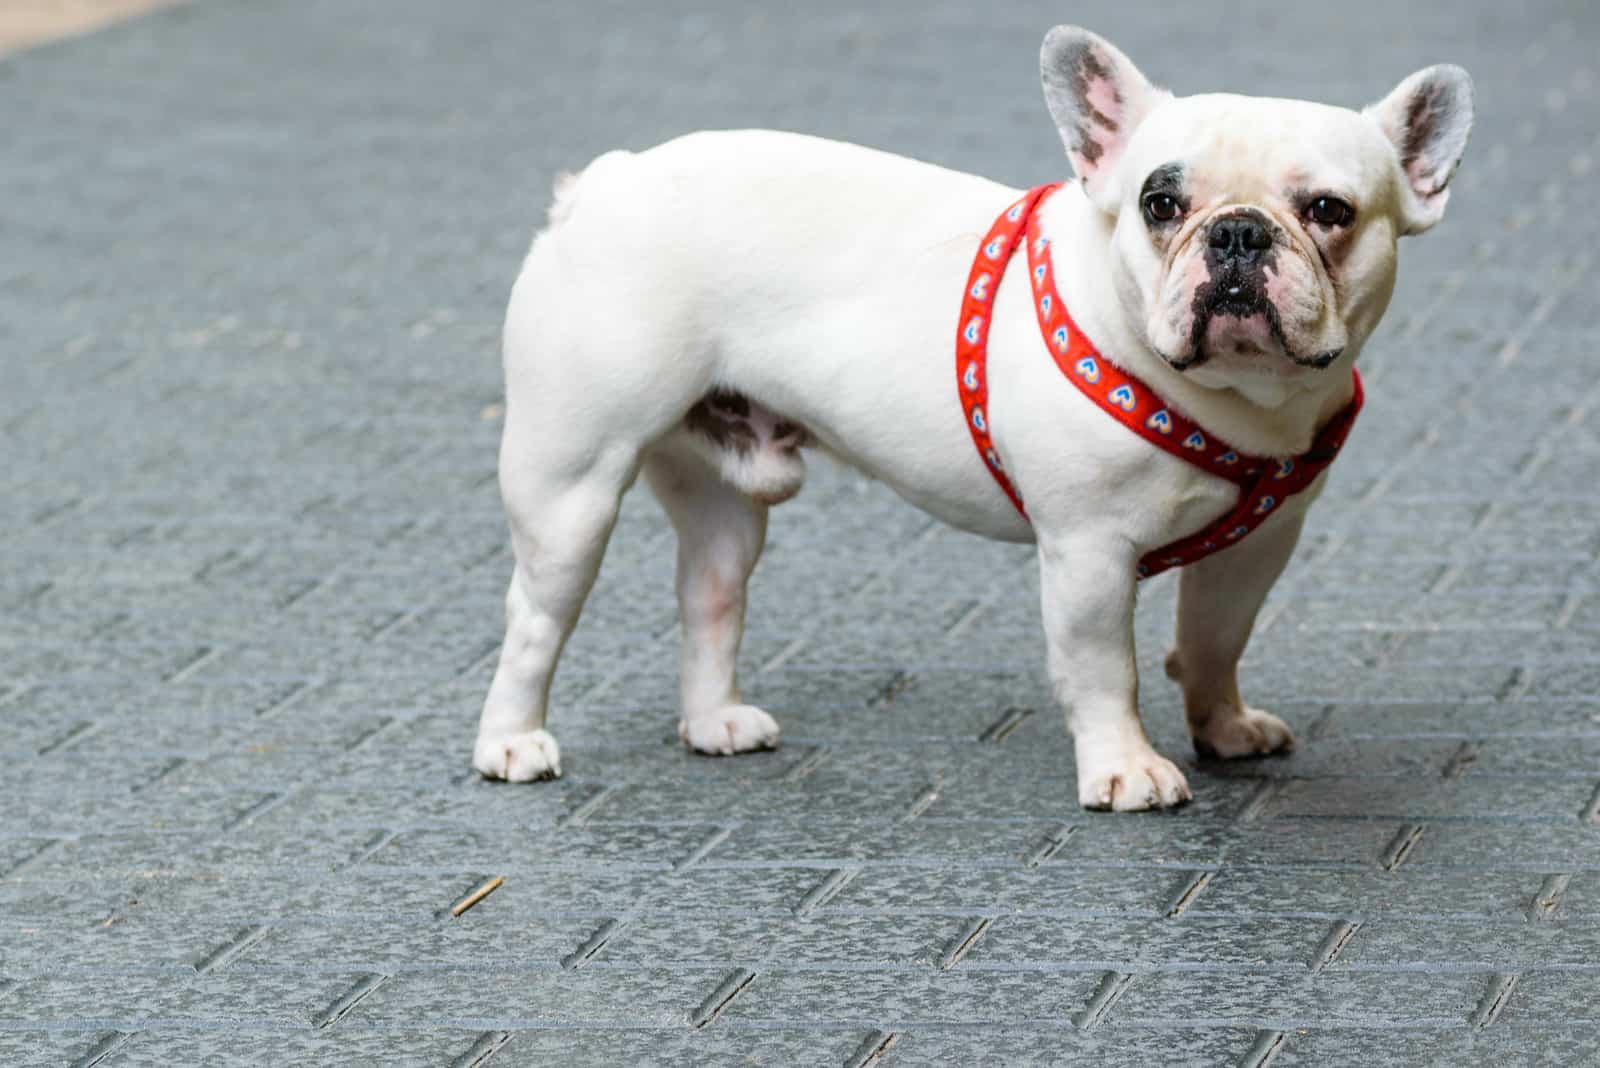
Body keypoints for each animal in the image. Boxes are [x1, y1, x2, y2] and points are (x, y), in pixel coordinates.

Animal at [470, 24, 1472, 808]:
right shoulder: (1088, 552)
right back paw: (510, 742)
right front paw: (1124, 769)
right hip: (570, 486)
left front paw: (1221, 725)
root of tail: (604, 184)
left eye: (1330, 210)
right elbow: (1107, 668)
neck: (1236, 401)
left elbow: (1214, 640)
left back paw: (714, 720)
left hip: (723, 497)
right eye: (1160, 204)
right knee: (534, 616)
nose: (1236, 232)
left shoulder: (1258, 547)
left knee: (710, 590)